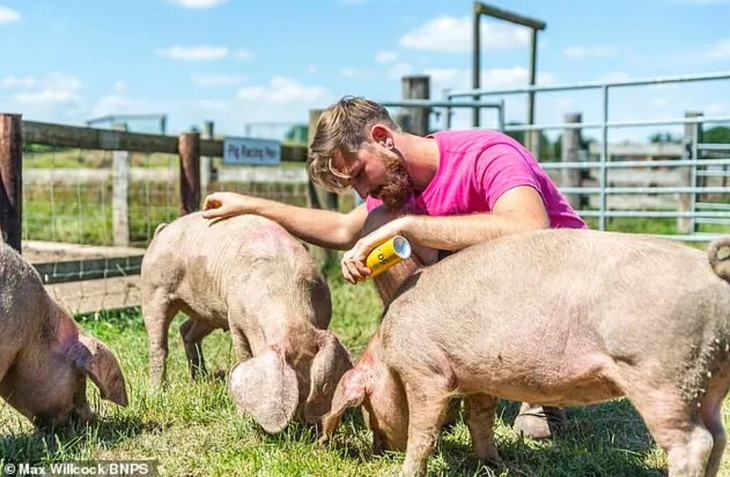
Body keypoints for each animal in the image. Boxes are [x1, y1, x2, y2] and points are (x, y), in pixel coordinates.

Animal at [139, 212, 352, 432]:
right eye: (297, 391)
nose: (302, 428)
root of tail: (162, 229)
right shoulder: (235, 317)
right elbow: (243, 354)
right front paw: (243, 418)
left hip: (207, 312)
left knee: (186, 330)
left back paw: (201, 380)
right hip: (154, 290)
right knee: (159, 344)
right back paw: (157, 393)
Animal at [320, 228, 730, 476]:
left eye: (368, 408)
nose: (379, 451)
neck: (388, 349)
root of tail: (713, 276)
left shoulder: (426, 370)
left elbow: (425, 431)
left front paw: (405, 470)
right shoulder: (476, 376)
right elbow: (479, 418)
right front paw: (492, 463)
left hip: (662, 372)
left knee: (694, 442)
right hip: (709, 374)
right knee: (718, 436)